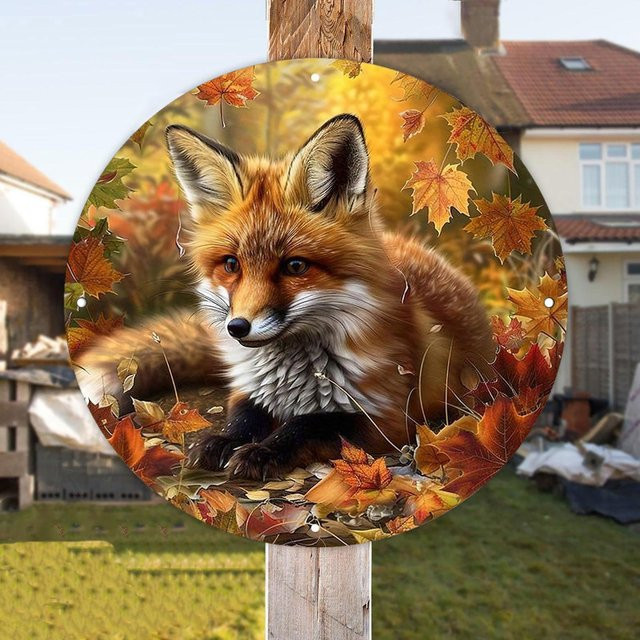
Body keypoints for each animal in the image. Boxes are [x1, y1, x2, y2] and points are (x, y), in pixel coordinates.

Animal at [77, 114, 495, 481]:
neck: (292, 376)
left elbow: (310, 424)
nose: (237, 327)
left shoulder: (388, 416)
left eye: (295, 266)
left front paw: (263, 452)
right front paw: (221, 442)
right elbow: (245, 418)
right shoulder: (249, 389)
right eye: (231, 264)